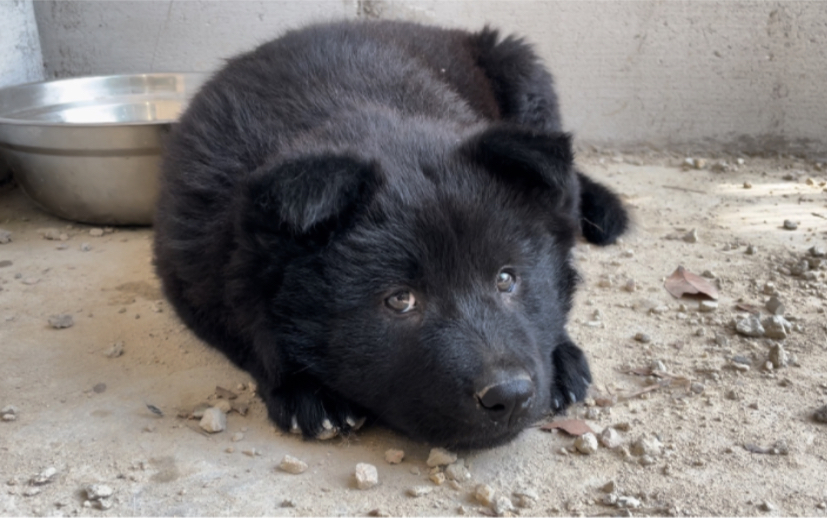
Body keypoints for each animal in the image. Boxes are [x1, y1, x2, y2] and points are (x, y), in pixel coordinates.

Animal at [154, 20, 628, 450]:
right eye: (400, 300)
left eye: (506, 278)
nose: (508, 396)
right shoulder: (191, 270)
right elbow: (248, 321)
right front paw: (309, 393)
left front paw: (560, 356)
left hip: (524, 72)